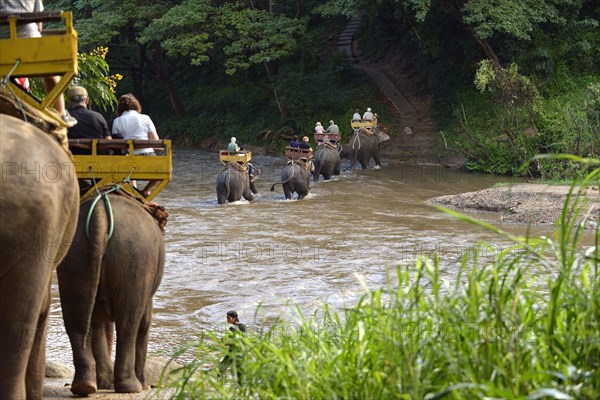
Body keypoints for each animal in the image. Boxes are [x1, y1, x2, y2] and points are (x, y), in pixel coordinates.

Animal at [57, 192, 165, 396]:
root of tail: (99, 214)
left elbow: (97, 323)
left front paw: (104, 385)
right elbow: (145, 322)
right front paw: (144, 385)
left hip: (74, 260)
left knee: (77, 322)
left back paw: (85, 386)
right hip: (135, 261)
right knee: (129, 324)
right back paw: (131, 387)